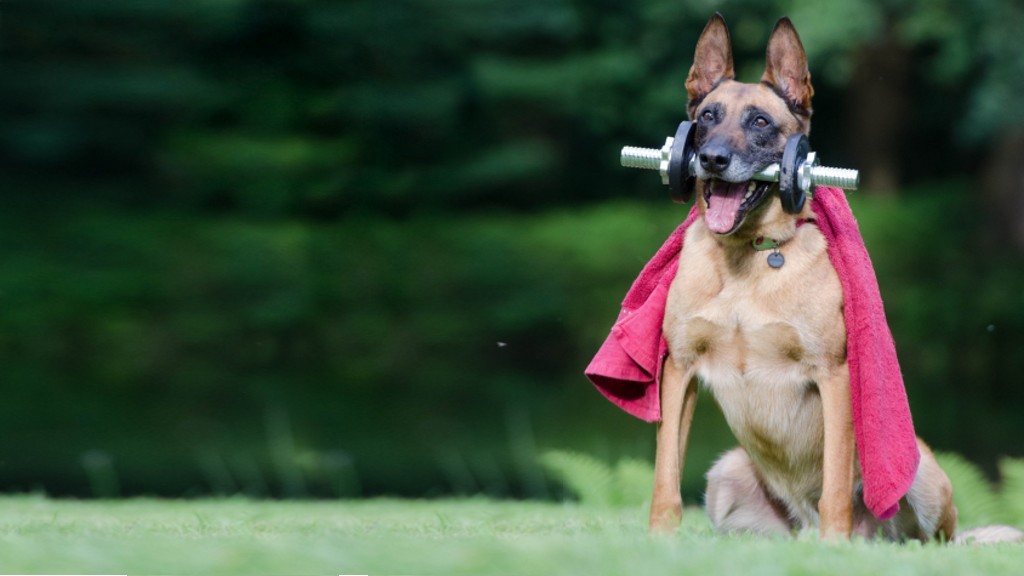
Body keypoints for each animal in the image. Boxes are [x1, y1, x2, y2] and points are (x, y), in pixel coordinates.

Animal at [647, 13, 958, 541]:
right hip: (726, 474)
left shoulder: (833, 375)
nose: (711, 158)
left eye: (760, 121)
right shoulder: (679, 370)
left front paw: (835, 547)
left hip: (921, 476)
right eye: (707, 116)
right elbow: (665, 477)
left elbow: (835, 484)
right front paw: (658, 541)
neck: (747, 261)